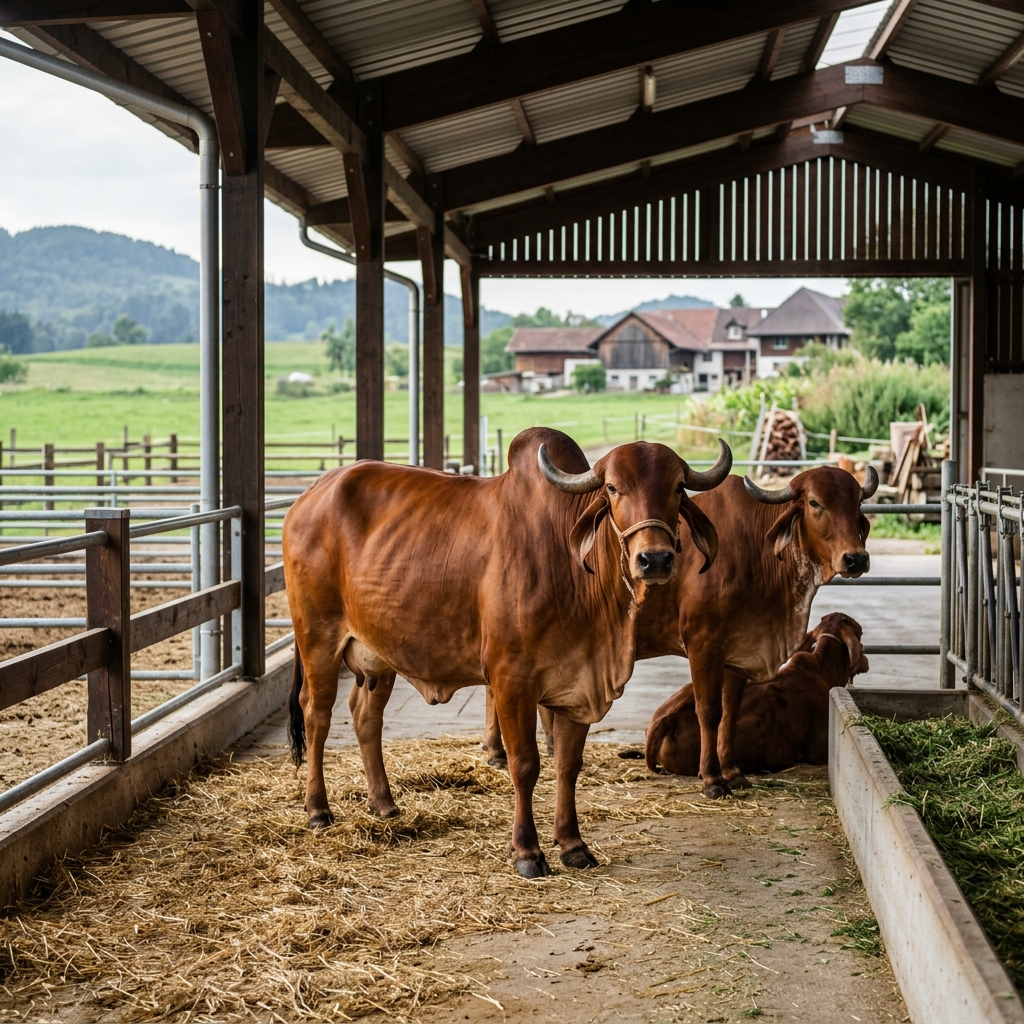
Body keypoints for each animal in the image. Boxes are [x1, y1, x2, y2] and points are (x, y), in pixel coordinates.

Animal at [282, 427, 731, 878]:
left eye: (678, 487)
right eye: (612, 488)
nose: (654, 559)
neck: (572, 572)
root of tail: (312, 494)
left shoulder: (580, 682)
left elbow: (568, 765)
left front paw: (573, 844)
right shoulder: (512, 680)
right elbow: (525, 764)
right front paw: (527, 852)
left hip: (378, 655)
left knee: (365, 717)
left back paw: (384, 803)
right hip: (318, 637)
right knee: (317, 715)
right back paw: (318, 810)